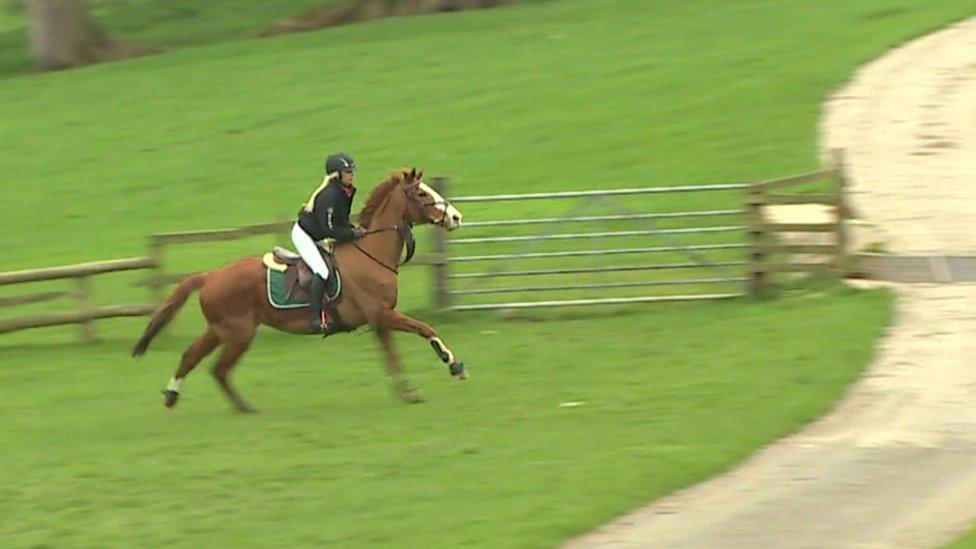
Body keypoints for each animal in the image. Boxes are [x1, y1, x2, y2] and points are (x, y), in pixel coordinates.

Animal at [132, 167, 466, 412]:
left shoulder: (379, 320)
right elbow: (424, 328)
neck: (370, 254)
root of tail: (210, 275)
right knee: (219, 369)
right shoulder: (383, 314)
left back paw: (176, 397)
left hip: (219, 330)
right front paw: (453, 364)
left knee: (193, 358)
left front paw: (408, 393)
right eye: (421, 193)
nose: (456, 217)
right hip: (238, 333)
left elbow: (392, 357)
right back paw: (244, 408)